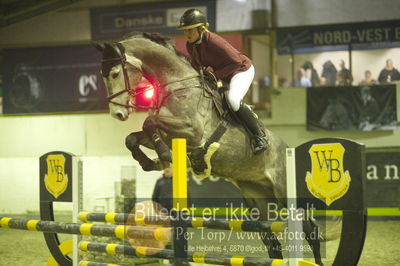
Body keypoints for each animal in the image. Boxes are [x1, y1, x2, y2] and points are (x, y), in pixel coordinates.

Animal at [93, 32, 322, 264]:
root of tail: (289, 149)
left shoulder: (191, 130)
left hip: (284, 192)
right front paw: (151, 162)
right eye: (103, 76)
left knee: (310, 229)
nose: (117, 114)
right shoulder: (167, 134)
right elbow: (133, 138)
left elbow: (149, 122)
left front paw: (164, 156)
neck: (177, 86)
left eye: (114, 74)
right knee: (271, 240)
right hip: (258, 200)